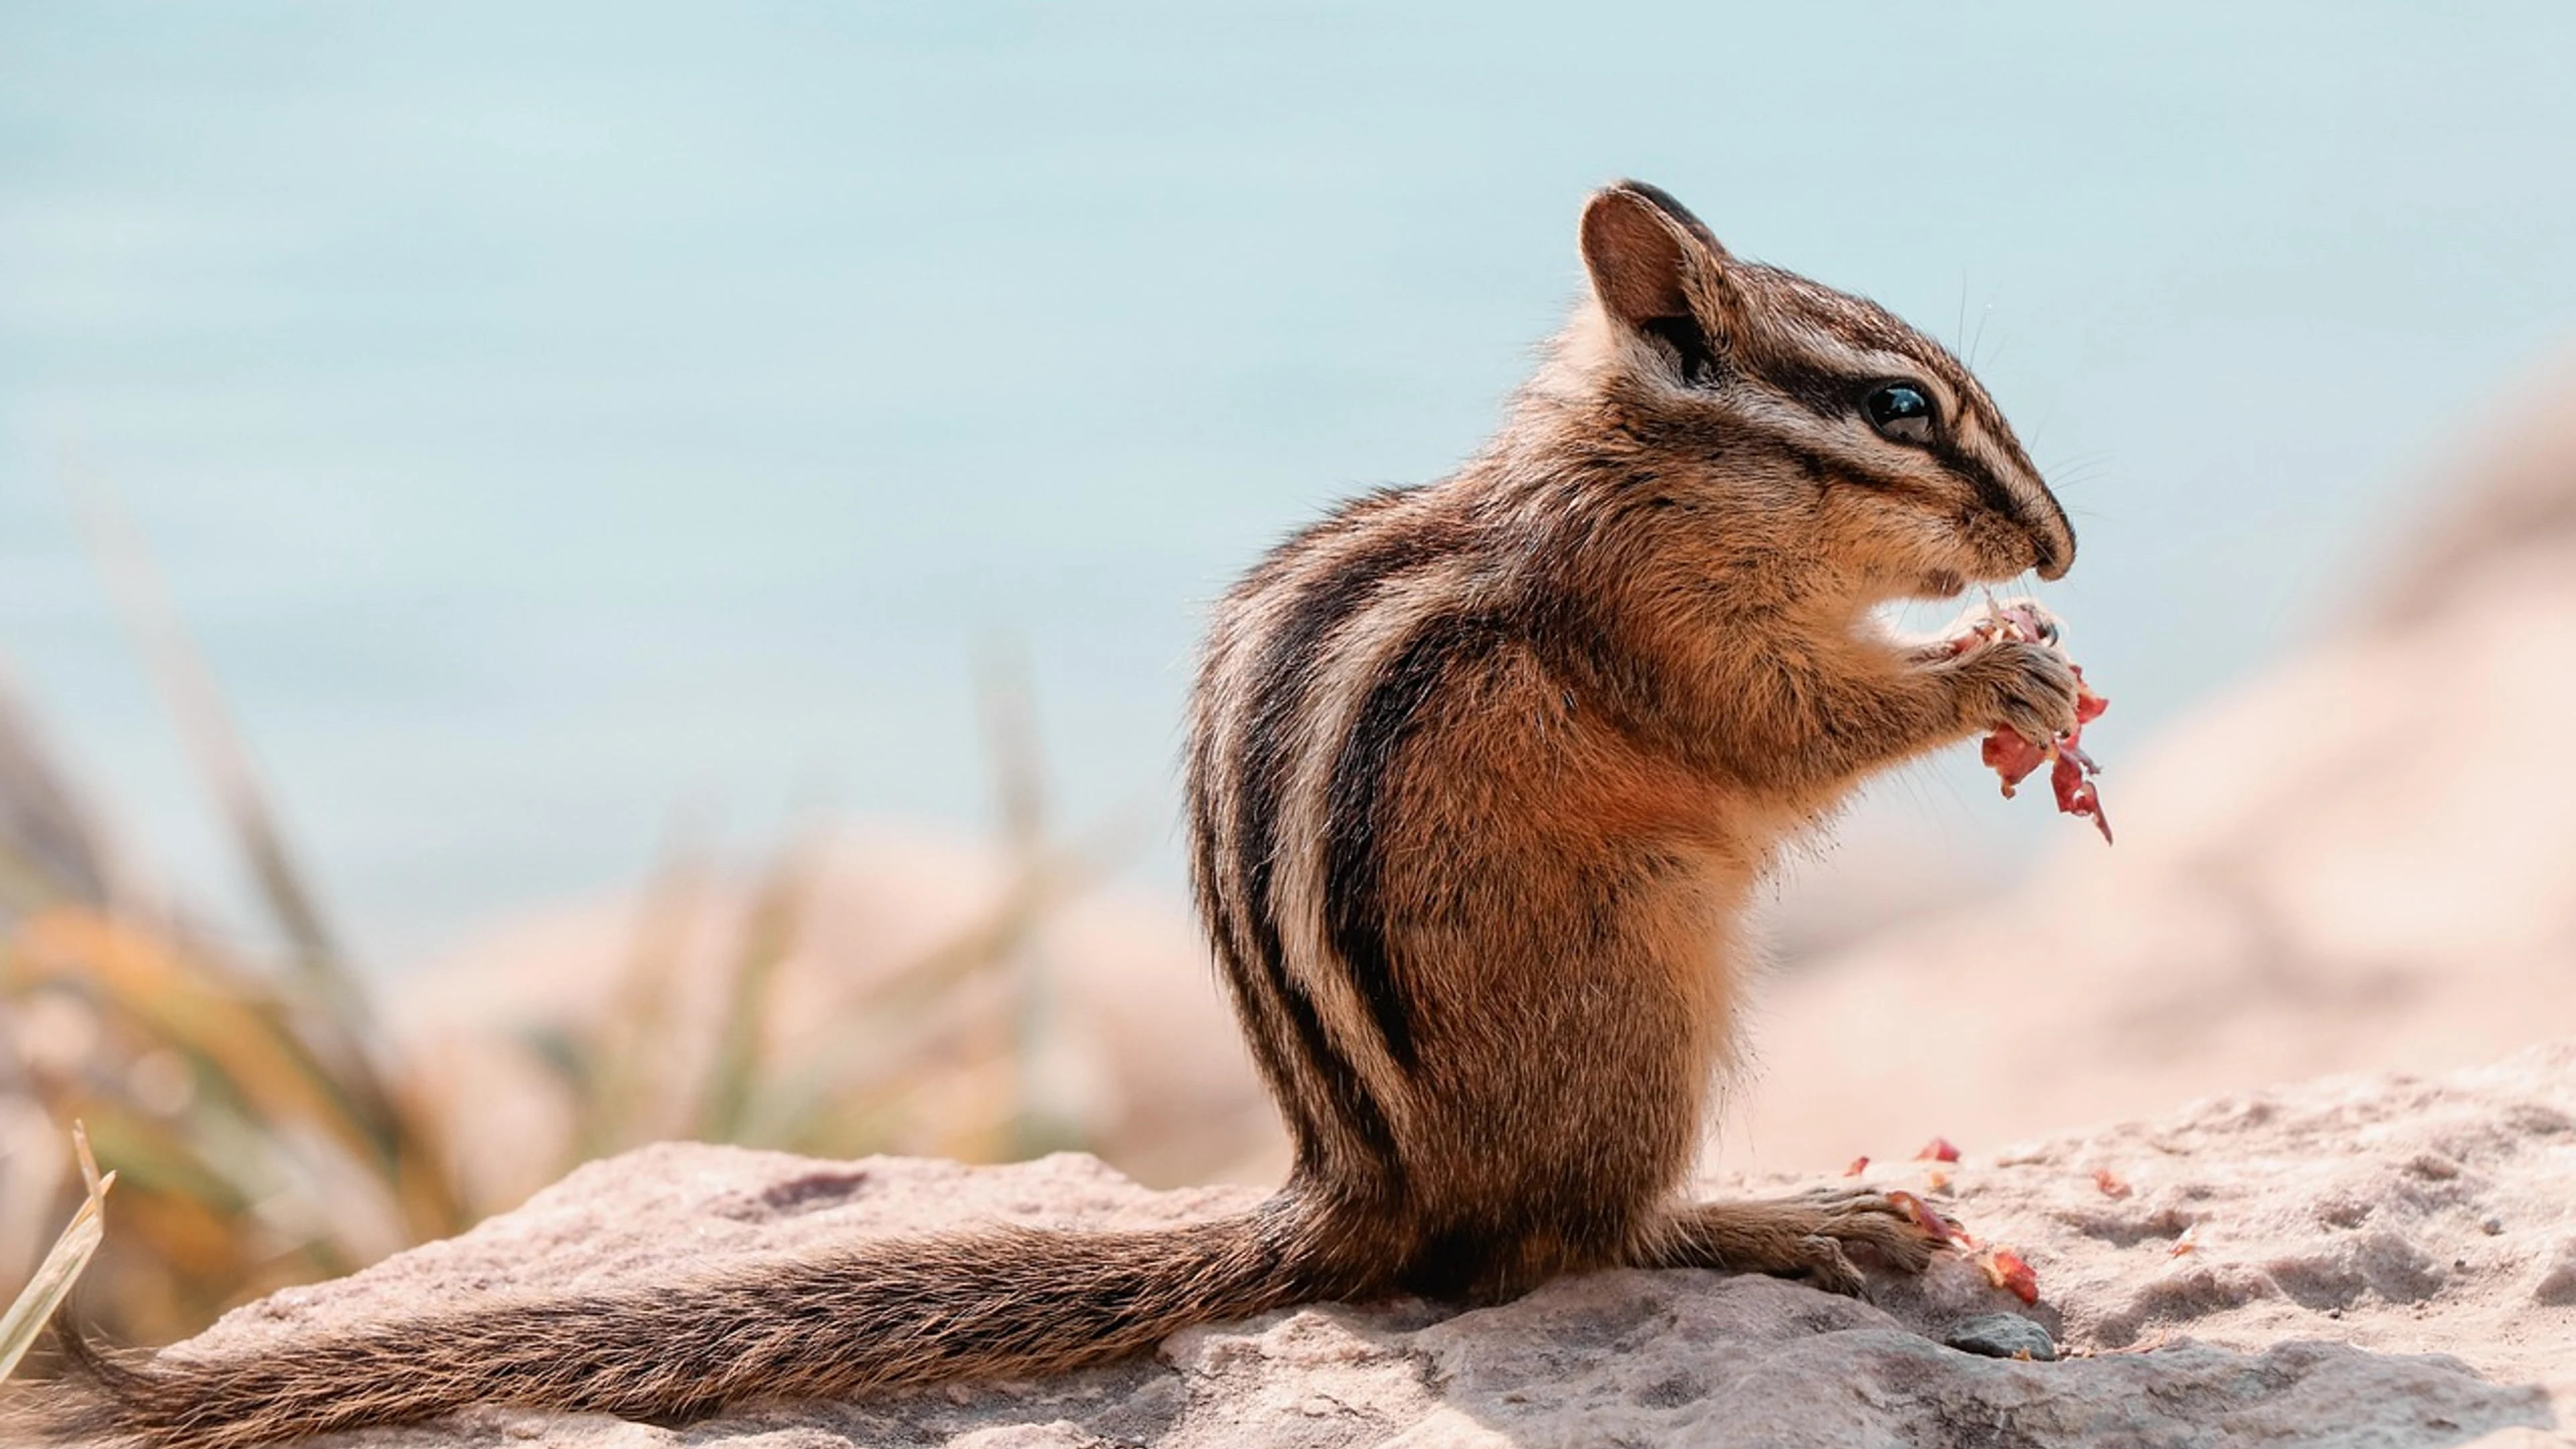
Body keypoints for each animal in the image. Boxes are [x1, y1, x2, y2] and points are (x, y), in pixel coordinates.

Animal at [5, 179, 2080, 1448]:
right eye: (1900, 408)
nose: (2059, 546)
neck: (1652, 470)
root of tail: (1358, 1192)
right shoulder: (1653, 630)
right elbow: (1781, 725)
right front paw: (1992, 674)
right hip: (1642, 999)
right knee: (1556, 1246)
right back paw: (1783, 1213)